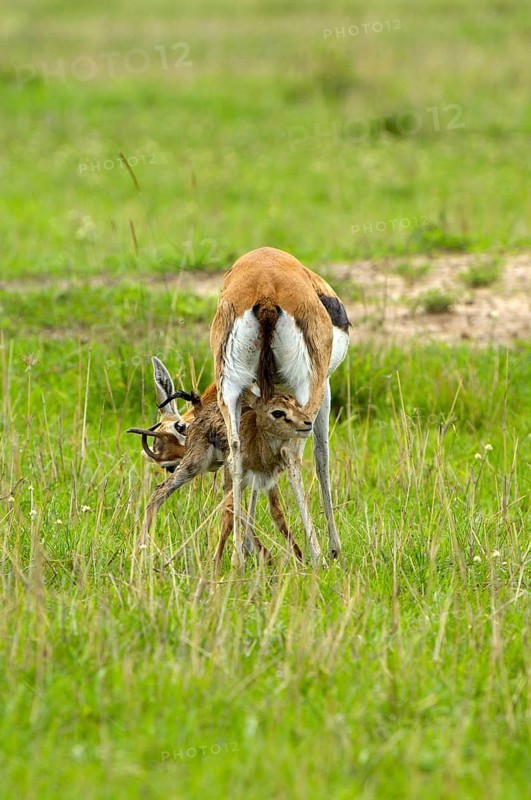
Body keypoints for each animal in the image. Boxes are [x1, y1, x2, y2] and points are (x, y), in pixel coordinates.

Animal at [209, 247, 350, 568]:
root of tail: (265, 289)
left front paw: (249, 546)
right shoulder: (324, 389)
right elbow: (322, 458)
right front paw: (335, 548)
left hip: (230, 388)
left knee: (236, 452)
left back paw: (237, 555)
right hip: (309, 388)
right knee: (293, 453)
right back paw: (317, 554)